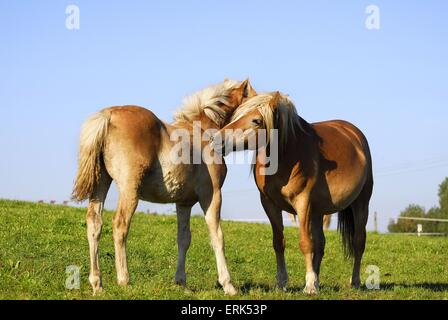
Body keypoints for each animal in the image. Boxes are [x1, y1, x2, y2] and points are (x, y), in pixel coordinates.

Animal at [72, 79, 258, 294]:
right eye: (254, 113)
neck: (203, 132)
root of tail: (109, 114)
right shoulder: (211, 195)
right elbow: (217, 236)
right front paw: (228, 285)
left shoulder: (184, 203)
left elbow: (184, 239)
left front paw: (181, 282)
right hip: (129, 189)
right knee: (120, 225)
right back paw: (124, 279)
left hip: (101, 182)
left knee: (94, 223)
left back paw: (97, 284)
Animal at [212, 91, 372, 294]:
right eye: (236, 116)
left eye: (256, 120)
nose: (216, 139)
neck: (286, 157)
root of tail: (354, 133)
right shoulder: (269, 204)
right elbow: (279, 242)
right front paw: (283, 282)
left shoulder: (303, 202)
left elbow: (305, 243)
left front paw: (309, 285)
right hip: (318, 212)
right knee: (320, 244)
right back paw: (318, 279)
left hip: (361, 203)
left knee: (358, 242)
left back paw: (355, 281)